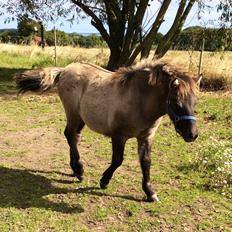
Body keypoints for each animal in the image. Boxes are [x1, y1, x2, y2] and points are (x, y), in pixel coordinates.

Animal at [14, 60, 201, 202]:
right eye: (176, 102)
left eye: (195, 102)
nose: (192, 135)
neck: (140, 99)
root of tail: (65, 70)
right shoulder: (119, 136)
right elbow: (117, 160)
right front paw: (104, 181)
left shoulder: (146, 137)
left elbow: (146, 163)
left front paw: (150, 192)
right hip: (72, 114)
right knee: (70, 136)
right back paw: (79, 170)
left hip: (81, 118)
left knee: (73, 136)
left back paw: (75, 169)